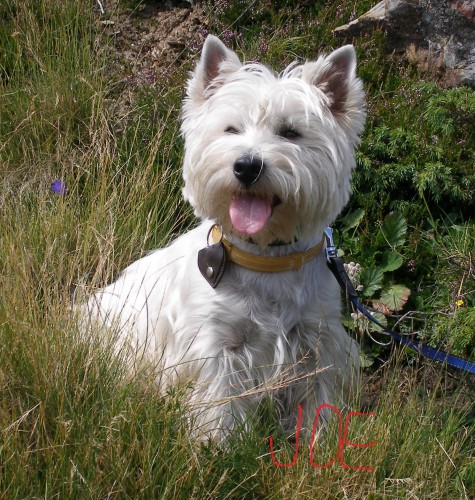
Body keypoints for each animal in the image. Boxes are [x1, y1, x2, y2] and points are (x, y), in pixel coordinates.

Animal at [83, 35, 368, 440]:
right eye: (231, 129)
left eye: (290, 132)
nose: (247, 166)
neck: (265, 258)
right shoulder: (214, 345)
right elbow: (220, 404)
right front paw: (217, 447)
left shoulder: (318, 340)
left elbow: (318, 396)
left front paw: (320, 439)